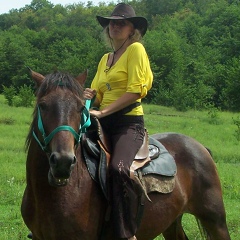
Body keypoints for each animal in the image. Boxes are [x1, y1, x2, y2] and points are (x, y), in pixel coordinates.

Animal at [22, 70, 231, 240]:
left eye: (81, 108)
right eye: (43, 105)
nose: (63, 162)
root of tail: (201, 147)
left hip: (215, 220)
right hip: (172, 221)